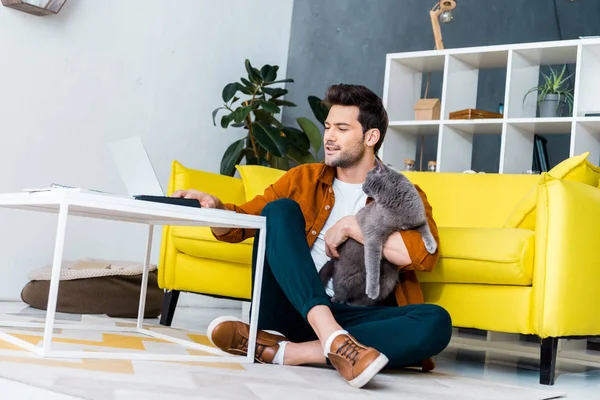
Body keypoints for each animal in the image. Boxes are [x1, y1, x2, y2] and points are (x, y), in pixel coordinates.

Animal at [318, 159, 436, 306]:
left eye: (367, 178)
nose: (362, 185)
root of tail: (333, 261)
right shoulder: (373, 237)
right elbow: (373, 266)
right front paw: (373, 290)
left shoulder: (417, 219)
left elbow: (426, 229)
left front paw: (432, 246)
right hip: (347, 276)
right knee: (340, 290)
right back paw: (340, 300)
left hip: (389, 280)